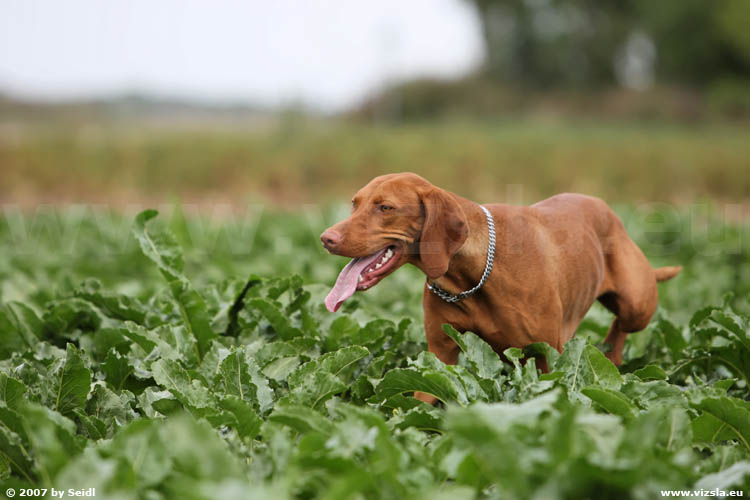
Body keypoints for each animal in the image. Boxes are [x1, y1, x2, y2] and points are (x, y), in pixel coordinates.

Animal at [320, 174, 684, 404]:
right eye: (354, 204)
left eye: (385, 208)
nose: (326, 238)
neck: (472, 275)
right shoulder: (440, 354)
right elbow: (425, 396)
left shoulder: (546, 356)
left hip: (637, 304)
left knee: (623, 323)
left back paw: (613, 355)